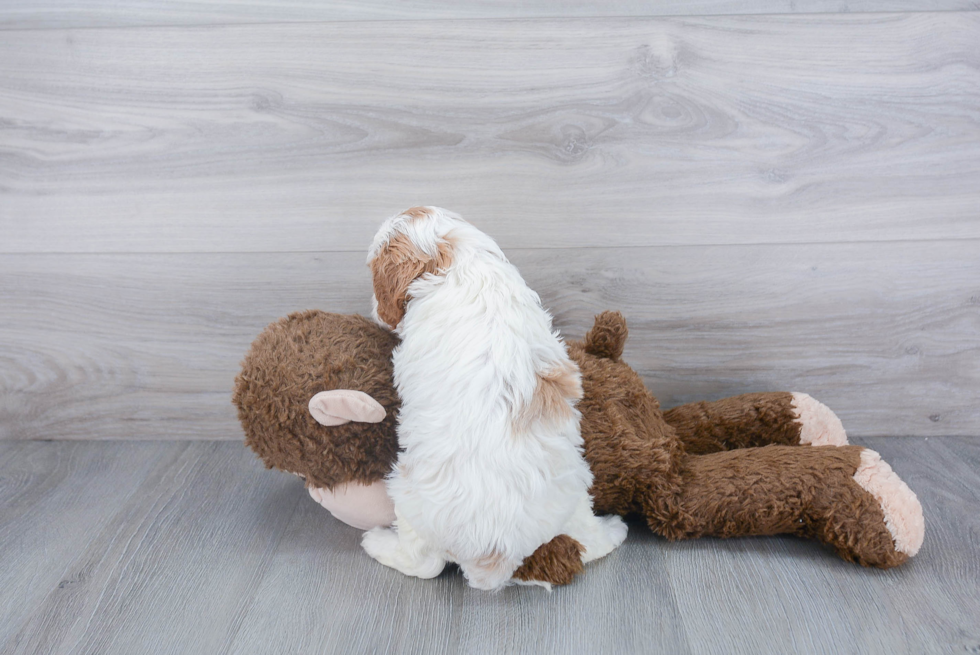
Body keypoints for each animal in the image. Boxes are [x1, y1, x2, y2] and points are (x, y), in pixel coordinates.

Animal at [362, 205, 628, 588]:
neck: (460, 260)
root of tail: (498, 554)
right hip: (576, 487)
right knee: (587, 541)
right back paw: (614, 530)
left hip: (407, 493)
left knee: (424, 564)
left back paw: (377, 542)